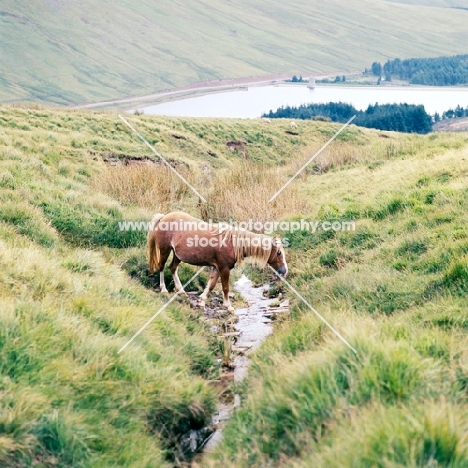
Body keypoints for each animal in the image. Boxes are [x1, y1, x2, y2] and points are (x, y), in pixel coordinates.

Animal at [150, 212, 288, 310]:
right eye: (279, 253)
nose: (285, 271)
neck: (232, 243)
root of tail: (164, 217)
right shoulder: (224, 268)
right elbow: (225, 288)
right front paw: (229, 306)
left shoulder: (217, 268)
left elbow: (211, 285)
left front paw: (201, 301)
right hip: (165, 250)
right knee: (161, 267)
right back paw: (163, 289)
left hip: (177, 255)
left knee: (173, 268)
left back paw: (181, 291)